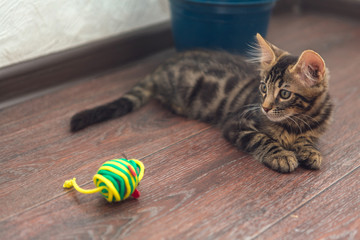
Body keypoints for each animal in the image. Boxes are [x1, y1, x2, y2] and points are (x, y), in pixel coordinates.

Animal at [70, 33, 332, 172]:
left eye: (284, 94)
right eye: (263, 88)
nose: (265, 107)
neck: (296, 122)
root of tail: (161, 66)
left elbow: (308, 141)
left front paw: (310, 152)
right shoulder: (236, 124)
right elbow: (263, 138)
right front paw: (281, 155)